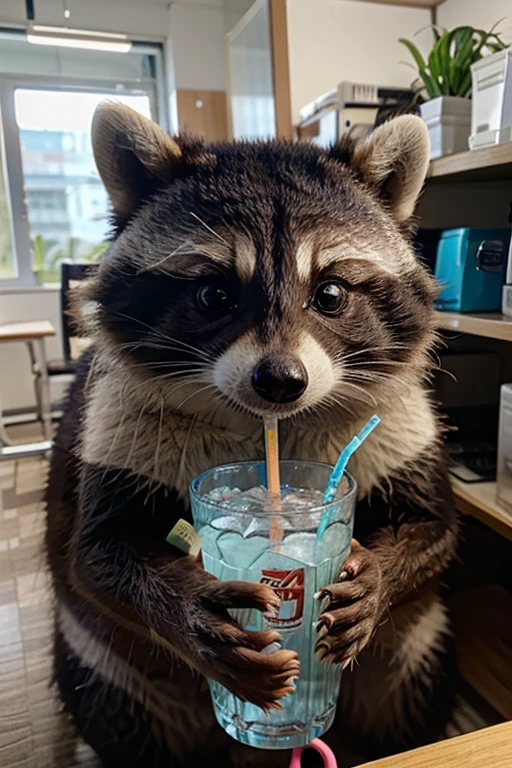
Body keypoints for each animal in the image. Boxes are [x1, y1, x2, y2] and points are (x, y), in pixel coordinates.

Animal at [46, 106, 458, 768]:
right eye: (214, 294)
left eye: (331, 294)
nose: (281, 382)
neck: (270, 429)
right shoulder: (116, 421)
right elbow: (96, 553)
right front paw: (191, 609)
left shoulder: (399, 420)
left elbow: (434, 525)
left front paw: (377, 576)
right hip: (109, 671)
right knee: (115, 706)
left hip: (411, 652)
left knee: (412, 690)